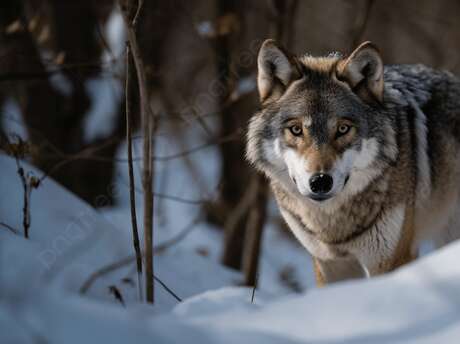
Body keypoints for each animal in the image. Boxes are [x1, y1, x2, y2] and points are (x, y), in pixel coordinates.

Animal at [248, 40, 460, 286]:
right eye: (296, 129)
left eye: (342, 129)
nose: (320, 181)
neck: (332, 226)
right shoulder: (330, 263)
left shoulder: (390, 260)